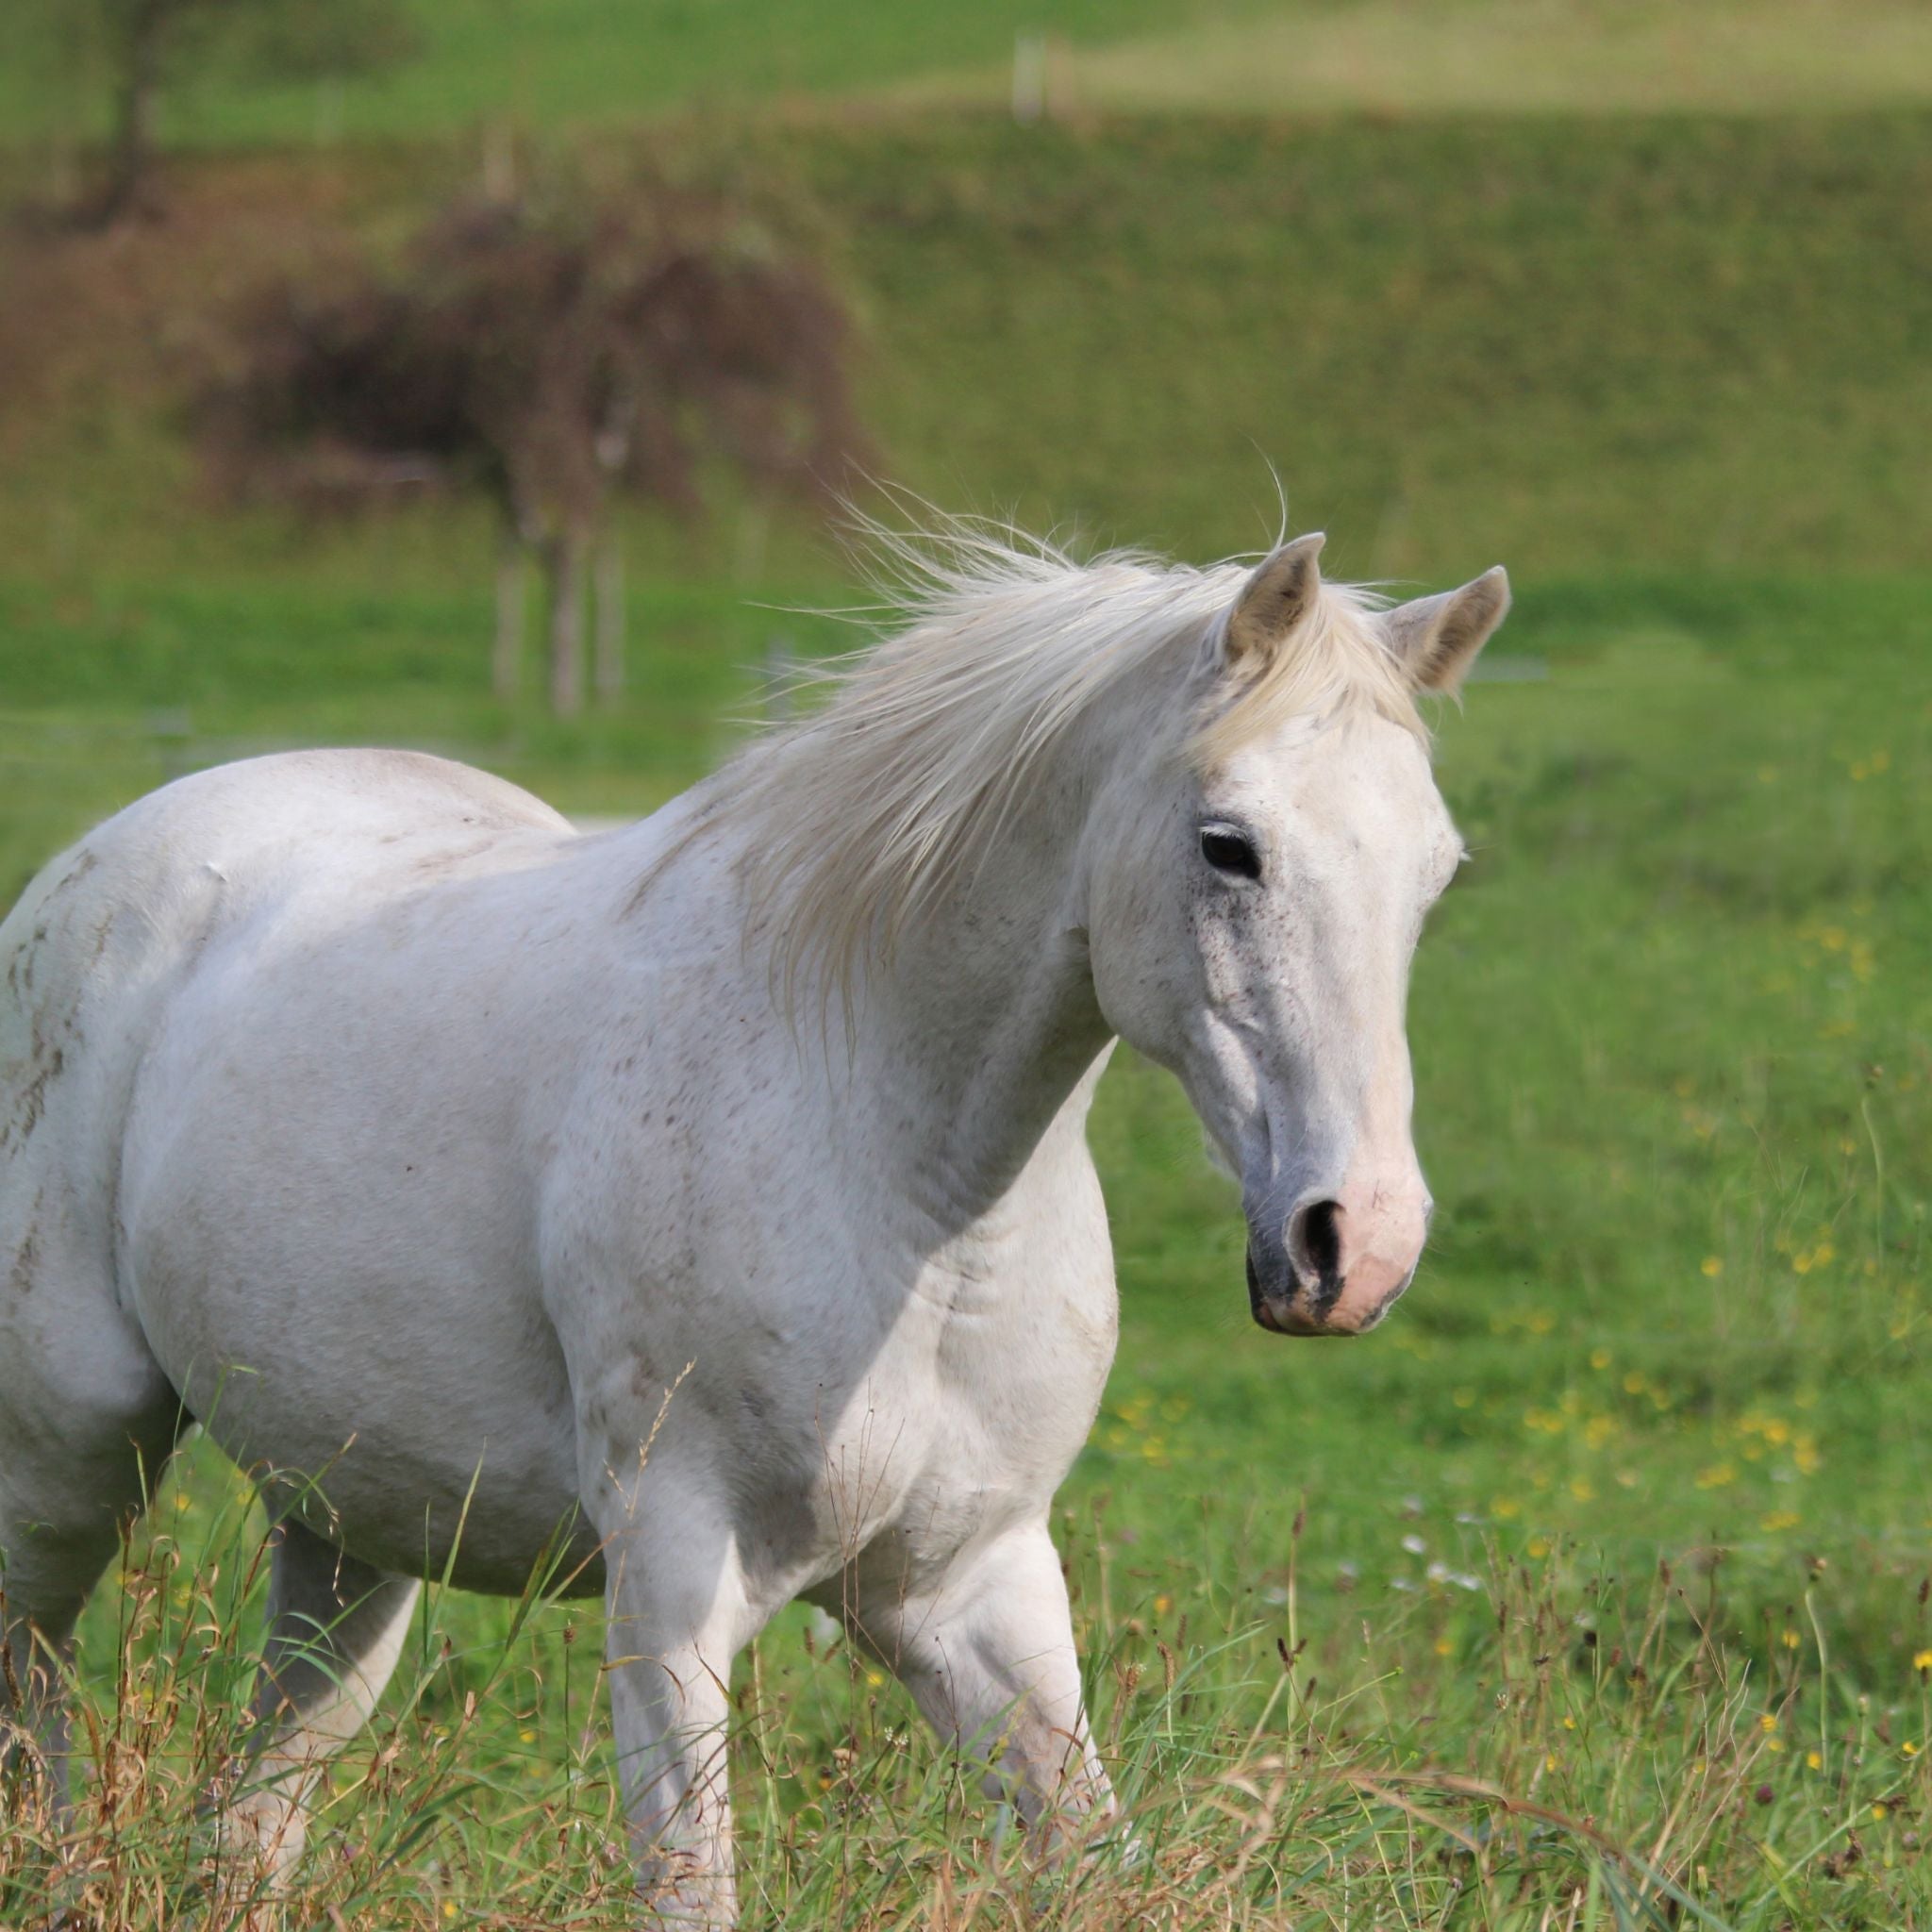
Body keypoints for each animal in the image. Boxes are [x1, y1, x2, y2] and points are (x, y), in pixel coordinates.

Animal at [0, 525, 1507, 1916]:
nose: (1354, 1245)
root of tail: (98, 861)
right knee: (37, 1683)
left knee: (263, 1796)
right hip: (72, 1454)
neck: (904, 1184)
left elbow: (1091, 1851)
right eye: (1226, 846)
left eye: (1438, 870)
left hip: (350, 1522)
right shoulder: (670, 1592)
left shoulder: (972, 1587)